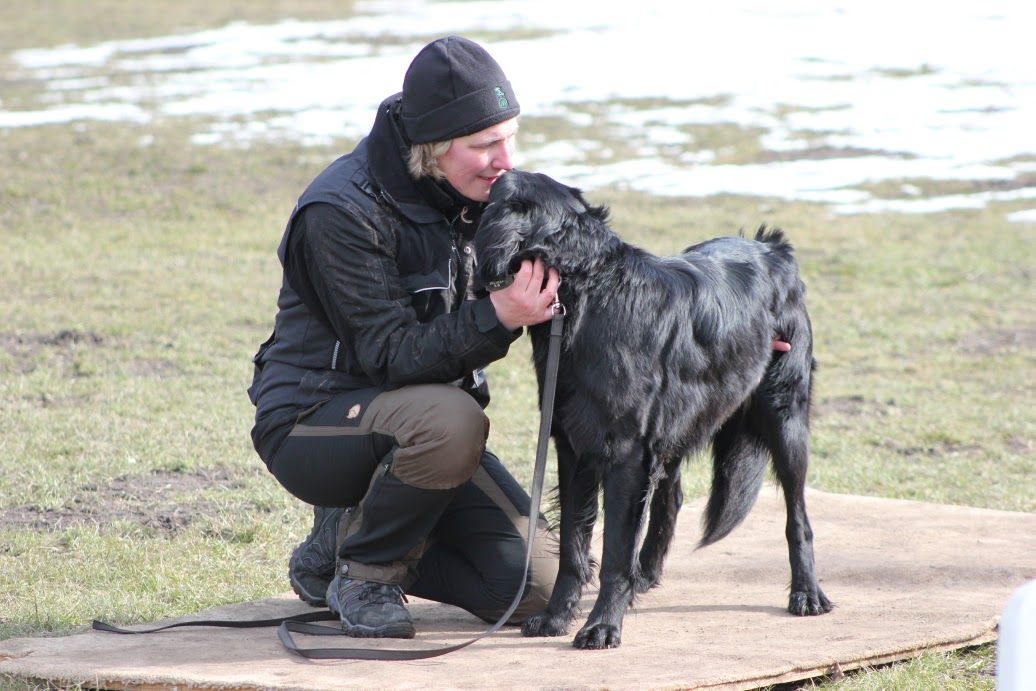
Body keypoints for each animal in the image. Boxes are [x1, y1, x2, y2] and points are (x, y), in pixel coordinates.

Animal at [475, 170, 832, 650]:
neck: (591, 293)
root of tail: (773, 249)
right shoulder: (574, 450)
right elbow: (573, 544)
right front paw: (556, 616)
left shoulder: (626, 453)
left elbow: (613, 552)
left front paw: (602, 625)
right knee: (672, 497)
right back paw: (645, 575)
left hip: (784, 414)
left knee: (799, 516)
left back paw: (807, 593)